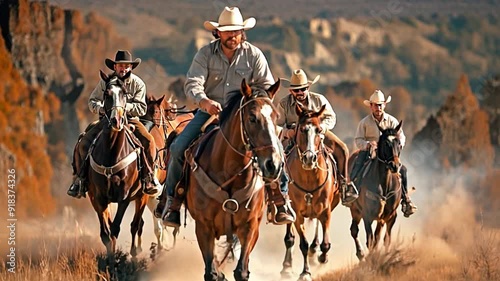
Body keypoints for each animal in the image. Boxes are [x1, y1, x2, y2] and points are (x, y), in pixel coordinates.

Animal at [87, 71, 152, 258]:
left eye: (125, 94)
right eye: (107, 94)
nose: (116, 121)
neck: (111, 152)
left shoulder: (125, 197)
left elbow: (115, 229)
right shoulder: (98, 197)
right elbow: (106, 233)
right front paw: (109, 259)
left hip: (142, 196)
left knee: (136, 225)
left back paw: (135, 251)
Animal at [184, 79, 286, 280]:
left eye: (276, 116)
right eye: (252, 118)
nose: (273, 165)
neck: (229, 173)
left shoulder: (250, 227)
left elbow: (241, 271)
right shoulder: (203, 227)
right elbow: (211, 272)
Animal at [280, 103, 342, 280]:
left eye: (319, 130)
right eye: (302, 129)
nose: (309, 158)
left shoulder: (326, 211)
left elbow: (325, 244)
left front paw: (322, 258)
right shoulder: (297, 214)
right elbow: (303, 244)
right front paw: (305, 272)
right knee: (290, 238)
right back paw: (287, 267)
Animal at [348, 121, 406, 260]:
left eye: (399, 143)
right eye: (385, 143)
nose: (395, 165)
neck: (384, 184)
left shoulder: (390, 216)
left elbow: (385, 239)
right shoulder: (367, 215)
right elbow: (370, 241)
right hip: (355, 210)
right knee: (354, 230)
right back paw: (360, 254)